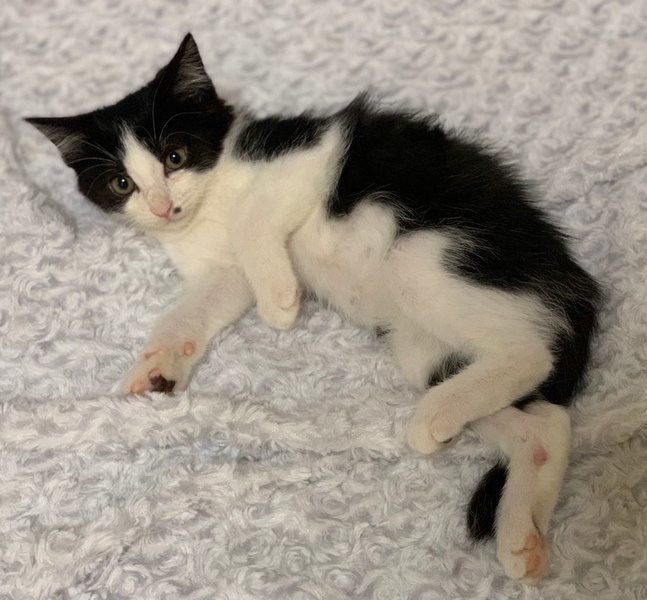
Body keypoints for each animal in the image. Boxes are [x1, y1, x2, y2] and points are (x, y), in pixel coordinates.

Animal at [27, 33, 600, 583]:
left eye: (175, 157)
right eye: (122, 183)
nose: (165, 207)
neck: (209, 200)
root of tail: (570, 276)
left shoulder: (311, 152)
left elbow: (253, 216)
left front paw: (280, 303)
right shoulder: (223, 272)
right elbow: (196, 307)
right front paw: (156, 368)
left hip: (432, 255)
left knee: (531, 354)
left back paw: (433, 421)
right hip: (424, 347)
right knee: (547, 421)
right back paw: (520, 536)